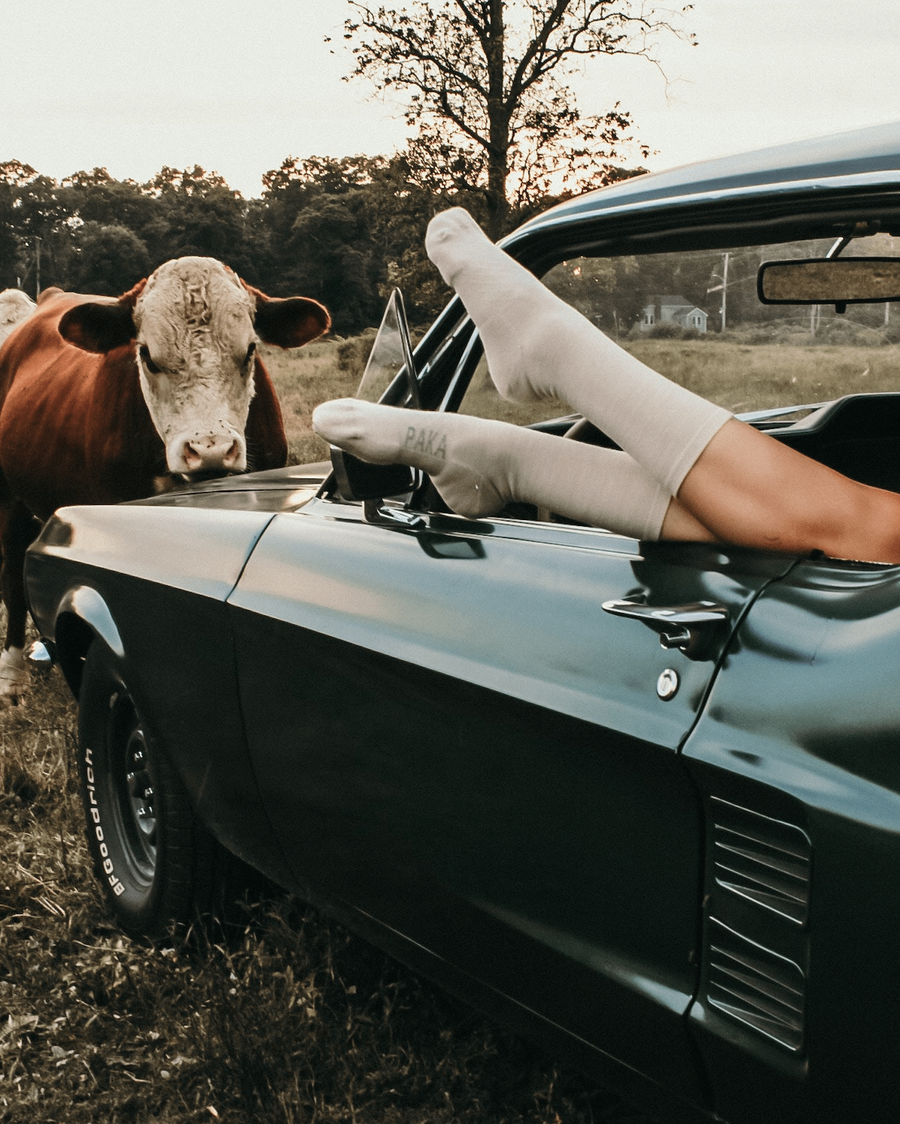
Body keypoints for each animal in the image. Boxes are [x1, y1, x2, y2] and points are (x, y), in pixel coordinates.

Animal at [0, 258, 330, 705]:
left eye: (249, 350)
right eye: (147, 355)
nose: (210, 449)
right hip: (8, 498)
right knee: (13, 576)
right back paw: (12, 676)